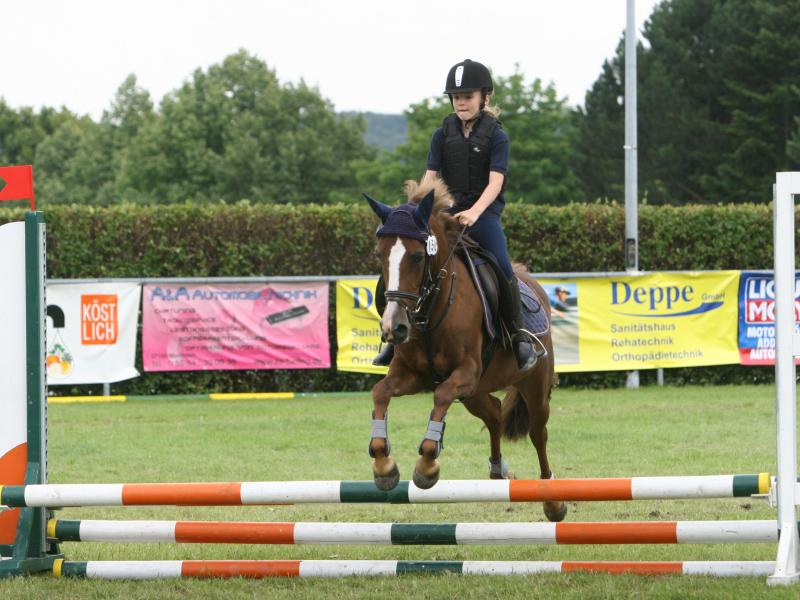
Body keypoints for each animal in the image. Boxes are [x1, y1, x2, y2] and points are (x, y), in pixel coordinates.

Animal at [368, 177, 568, 520]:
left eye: (417, 257)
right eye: (380, 255)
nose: (394, 327)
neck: (432, 310)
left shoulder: (465, 373)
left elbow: (441, 396)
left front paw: (427, 465)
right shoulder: (412, 375)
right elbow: (380, 392)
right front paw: (384, 466)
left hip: (533, 385)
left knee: (537, 433)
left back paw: (553, 501)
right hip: (475, 393)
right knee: (495, 415)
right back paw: (499, 470)